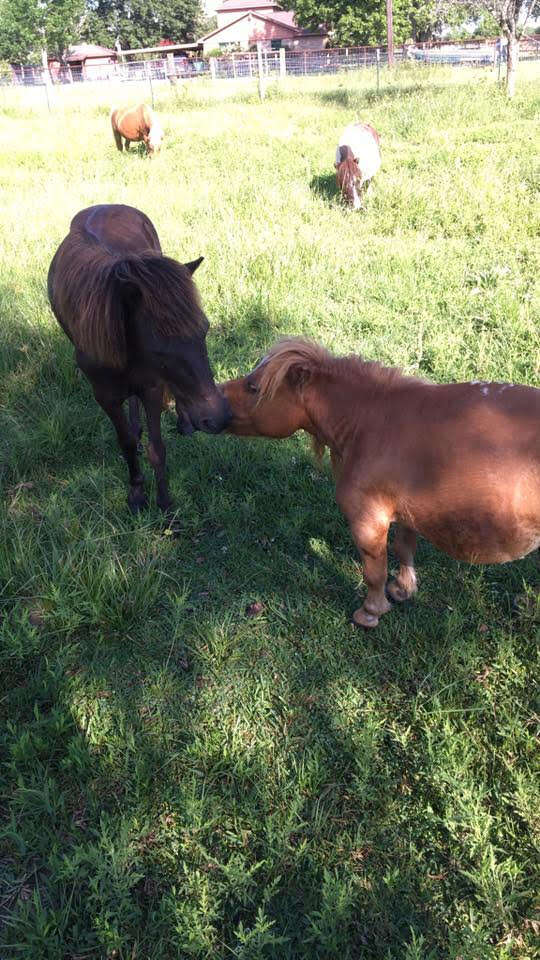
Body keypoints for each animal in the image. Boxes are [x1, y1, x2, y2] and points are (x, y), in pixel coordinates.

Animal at [48, 204, 230, 516]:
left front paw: (165, 504)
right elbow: (127, 444)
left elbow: (157, 447)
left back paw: (184, 421)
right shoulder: (106, 396)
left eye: (205, 329)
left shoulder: (152, 386)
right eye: (159, 346)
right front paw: (136, 493)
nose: (218, 418)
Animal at [220, 338, 540, 632]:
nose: (215, 398)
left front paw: (370, 613)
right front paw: (402, 589)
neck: (371, 423)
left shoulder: (368, 520)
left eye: (253, 387)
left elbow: (374, 571)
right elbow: (404, 548)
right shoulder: (410, 511)